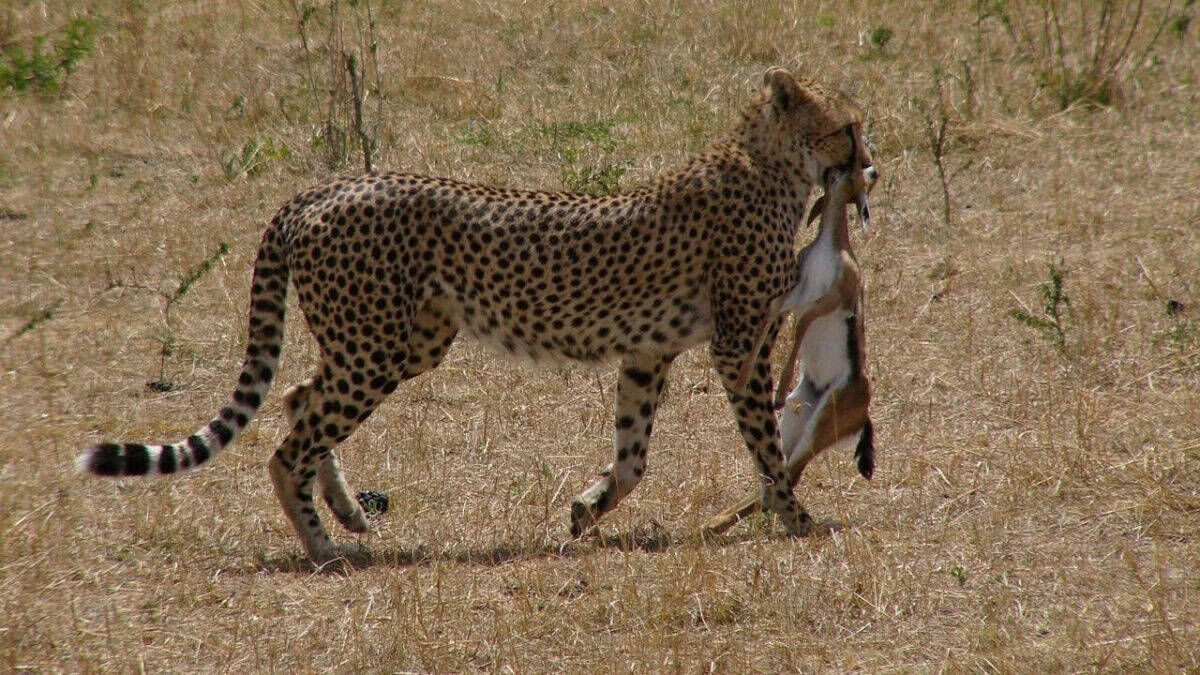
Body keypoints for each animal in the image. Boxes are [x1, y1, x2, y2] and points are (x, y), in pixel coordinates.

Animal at [76, 67, 875, 564]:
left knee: (301, 397)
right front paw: (796, 518)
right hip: (377, 347)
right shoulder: (738, 346)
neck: (768, 164)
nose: (869, 167)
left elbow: (634, 455)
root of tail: (322, 188)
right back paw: (324, 547)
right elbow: (766, 447)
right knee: (288, 444)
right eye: (848, 127)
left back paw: (347, 512)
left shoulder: (648, 353)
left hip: (402, 341)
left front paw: (587, 509)